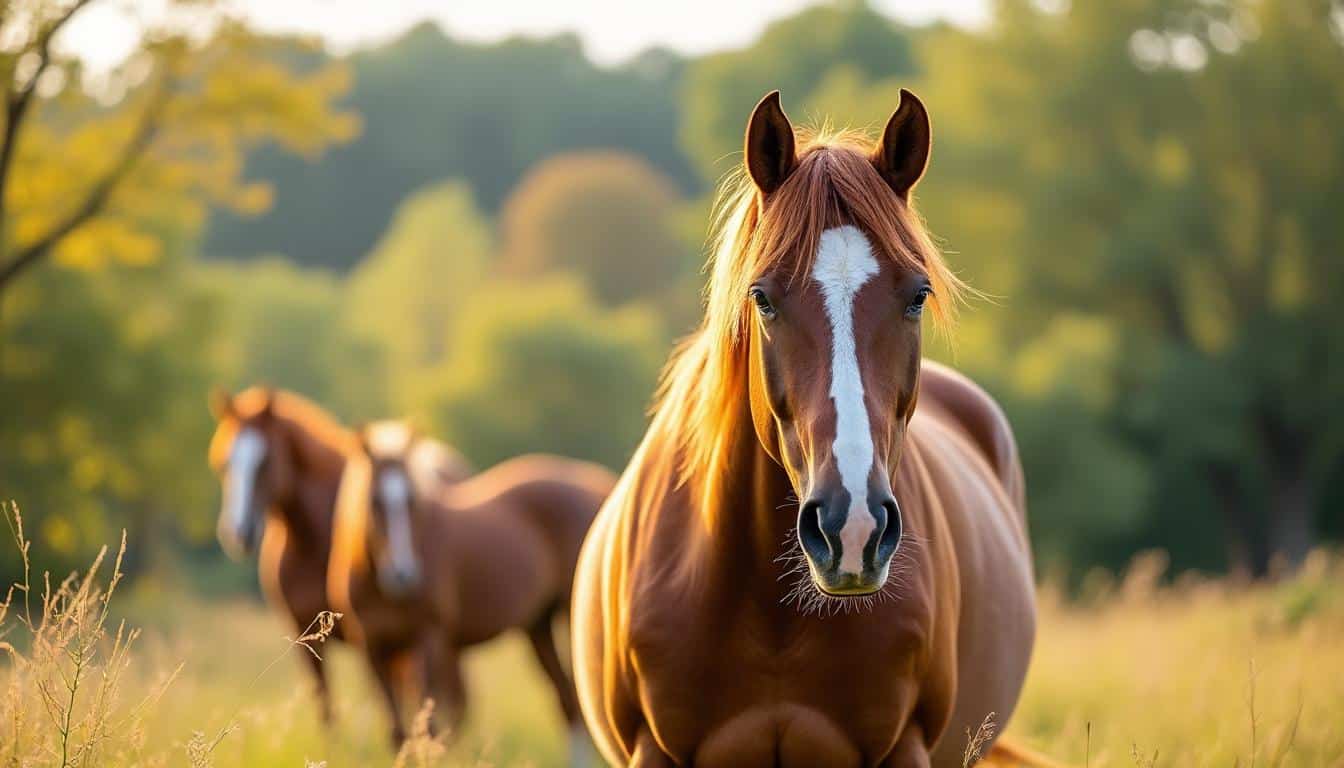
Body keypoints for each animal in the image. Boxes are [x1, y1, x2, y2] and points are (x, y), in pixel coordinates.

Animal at [206, 388, 472, 724]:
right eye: (224, 463)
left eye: (264, 462)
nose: (239, 532)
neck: (311, 539)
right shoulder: (305, 636)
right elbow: (327, 710)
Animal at [328, 420, 615, 759]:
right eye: (374, 501)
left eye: (412, 501)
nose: (404, 575)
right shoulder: (373, 647)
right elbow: (399, 732)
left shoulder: (429, 640)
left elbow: (429, 727)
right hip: (538, 626)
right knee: (567, 700)